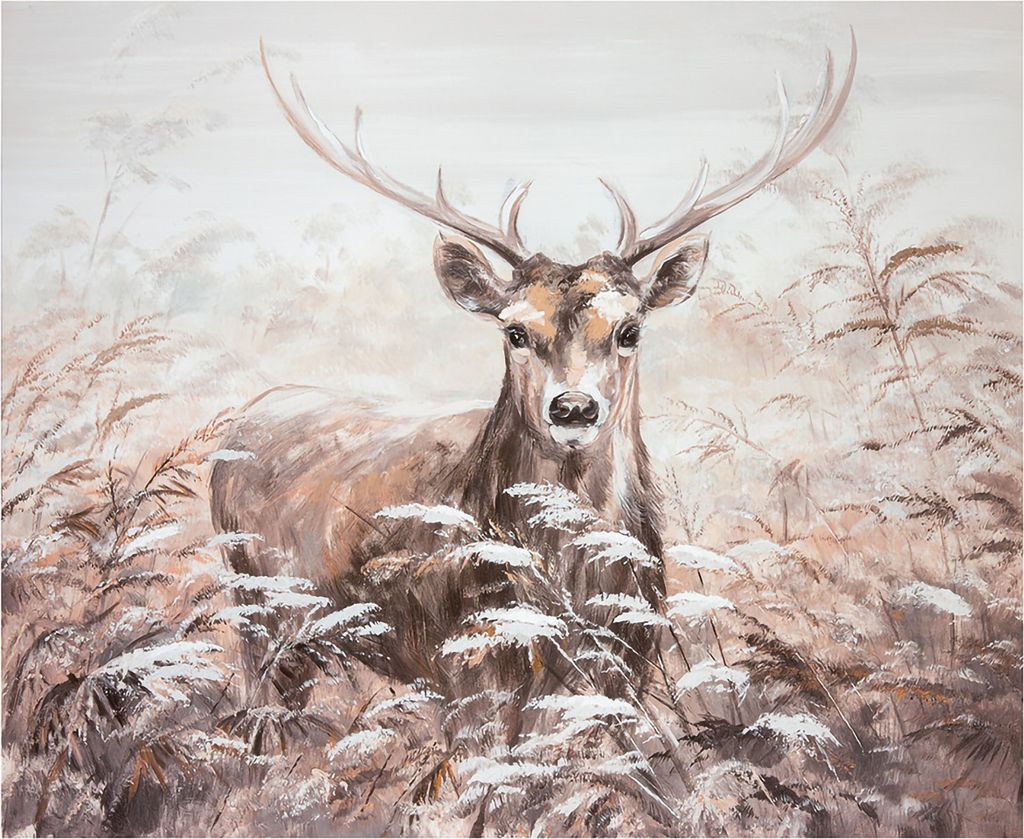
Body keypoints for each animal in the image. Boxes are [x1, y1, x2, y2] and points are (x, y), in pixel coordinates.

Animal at [210, 36, 856, 734]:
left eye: (630, 328)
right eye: (515, 330)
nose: (573, 408)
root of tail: (248, 415)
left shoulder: (627, 670)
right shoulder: (465, 672)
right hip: (257, 611)